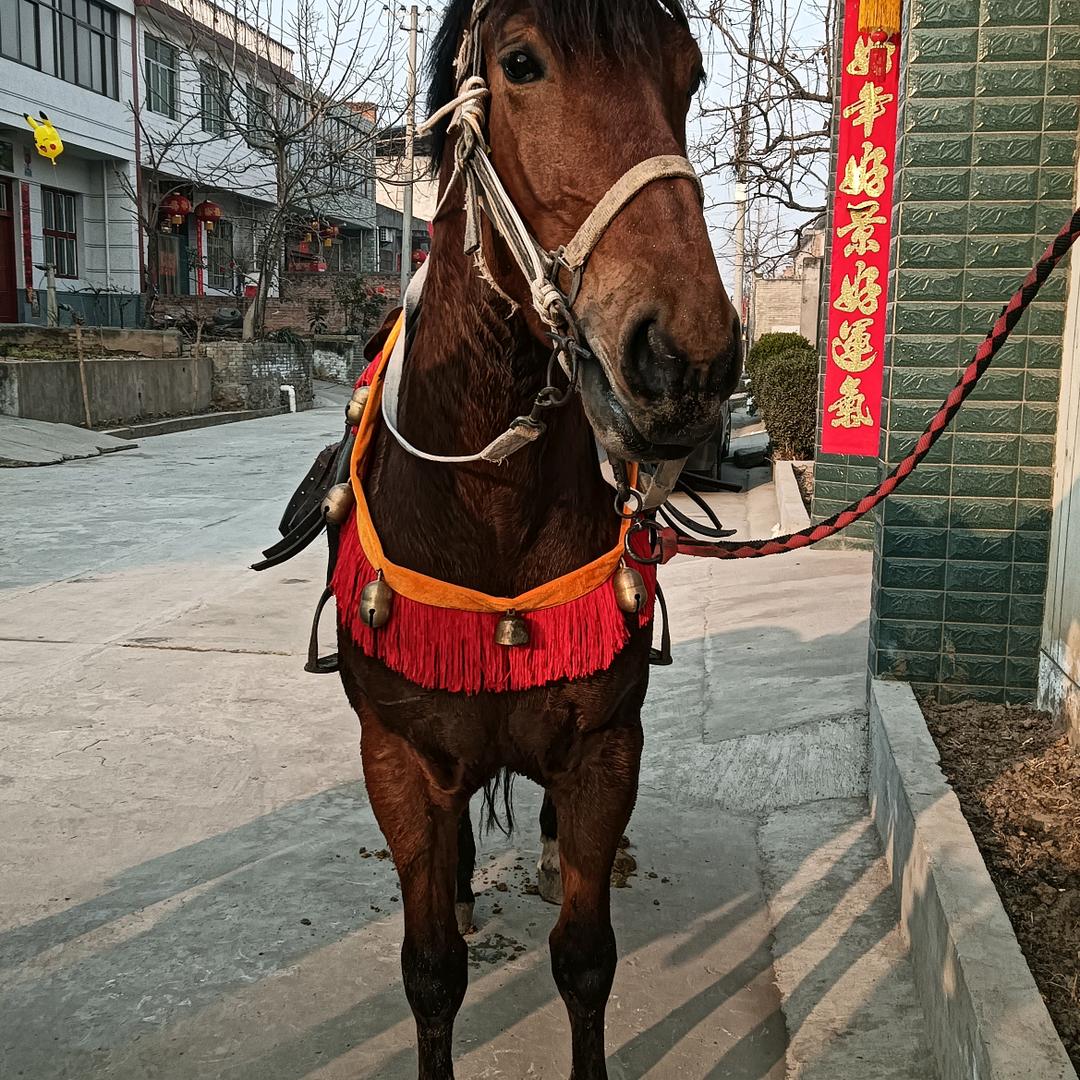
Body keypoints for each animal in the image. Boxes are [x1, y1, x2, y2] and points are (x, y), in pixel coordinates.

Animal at [335, 2, 740, 1076]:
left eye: (689, 75)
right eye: (521, 64)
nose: (687, 358)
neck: (492, 508)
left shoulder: (605, 749)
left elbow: (585, 960)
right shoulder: (398, 756)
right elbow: (431, 971)